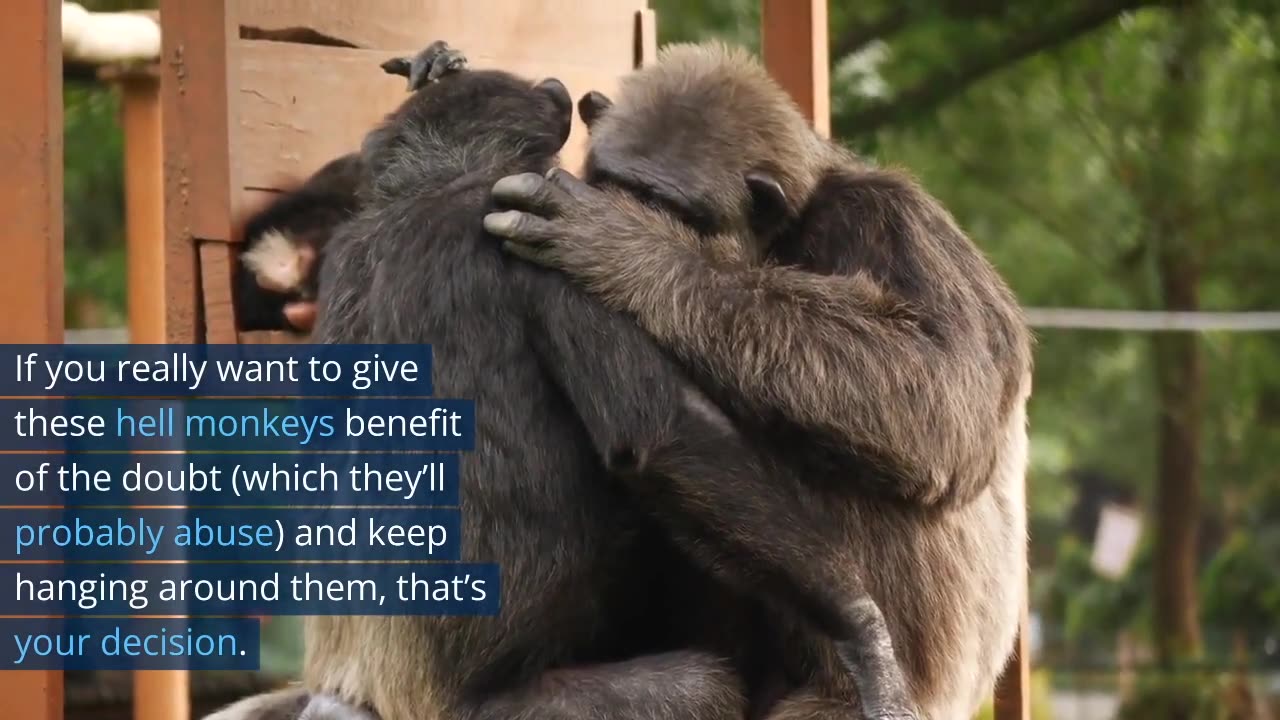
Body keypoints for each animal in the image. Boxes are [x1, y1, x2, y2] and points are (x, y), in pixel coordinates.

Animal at [483, 41, 1034, 720]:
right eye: (614, 181)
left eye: (667, 207)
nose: (622, 208)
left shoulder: (895, 224)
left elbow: (944, 386)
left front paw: (623, 243)